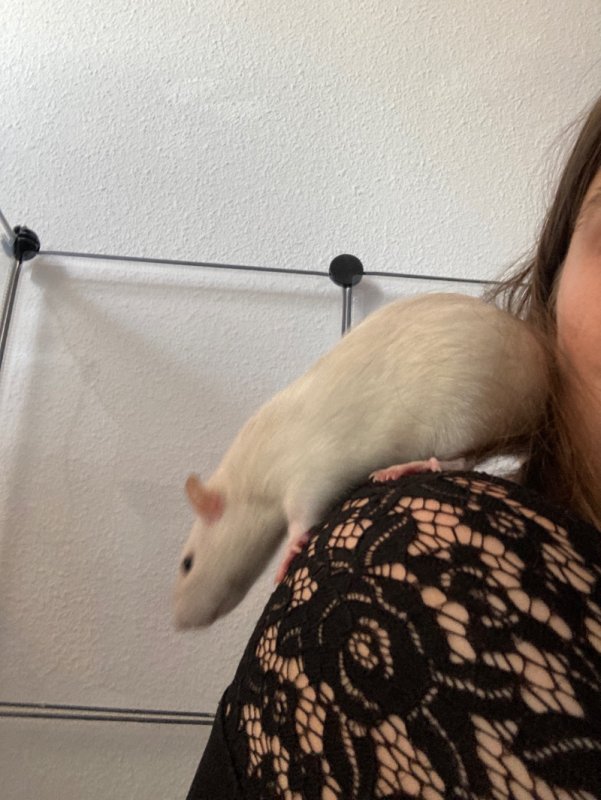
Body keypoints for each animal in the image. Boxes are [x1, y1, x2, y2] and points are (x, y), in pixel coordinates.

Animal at [173, 292, 549, 629]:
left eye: (187, 564)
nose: (179, 623)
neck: (244, 480)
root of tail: (538, 380)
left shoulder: (307, 467)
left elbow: (306, 507)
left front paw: (291, 546)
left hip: (466, 412)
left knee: (462, 461)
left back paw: (411, 465)